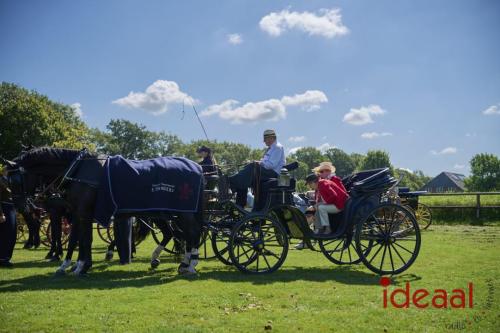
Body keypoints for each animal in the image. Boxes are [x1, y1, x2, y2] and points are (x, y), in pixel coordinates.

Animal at [5, 148, 205, 274]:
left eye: (15, 181)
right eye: (8, 181)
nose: (21, 206)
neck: (78, 170)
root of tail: (198, 167)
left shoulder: (82, 213)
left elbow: (84, 240)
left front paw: (81, 266)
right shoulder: (76, 213)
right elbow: (76, 240)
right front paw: (68, 265)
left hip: (181, 213)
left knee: (192, 232)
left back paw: (191, 264)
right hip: (165, 214)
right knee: (177, 234)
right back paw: (179, 261)